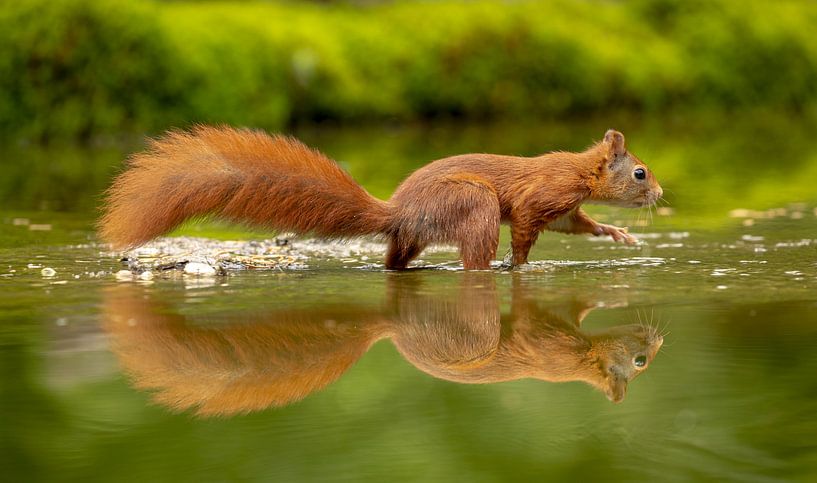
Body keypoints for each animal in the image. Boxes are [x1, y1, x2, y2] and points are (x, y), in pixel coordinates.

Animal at [102, 126, 664, 270]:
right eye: (640, 172)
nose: (660, 193)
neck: (579, 170)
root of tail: (399, 211)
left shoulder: (566, 209)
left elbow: (579, 225)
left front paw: (616, 232)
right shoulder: (543, 196)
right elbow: (525, 228)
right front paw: (522, 265)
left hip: (413, 237)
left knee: (395, 260)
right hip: (473, 205)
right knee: (473, 259)